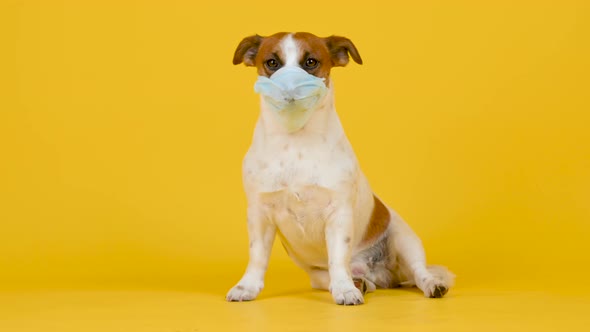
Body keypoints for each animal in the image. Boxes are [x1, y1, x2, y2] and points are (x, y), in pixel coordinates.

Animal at [229, 32, 456, 304]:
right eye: (272, 62)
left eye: (311, 62)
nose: (291, 87)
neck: (296, 138)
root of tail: (382, 273)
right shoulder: (259, 215)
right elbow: (257, 257)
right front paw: (247, 286)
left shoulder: (338, 214)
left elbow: (338, 258)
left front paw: (345, 290)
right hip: (317, 275)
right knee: (346, 278)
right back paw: (361, 282)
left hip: (405, 240)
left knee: (420, 272)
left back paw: (431, 284)